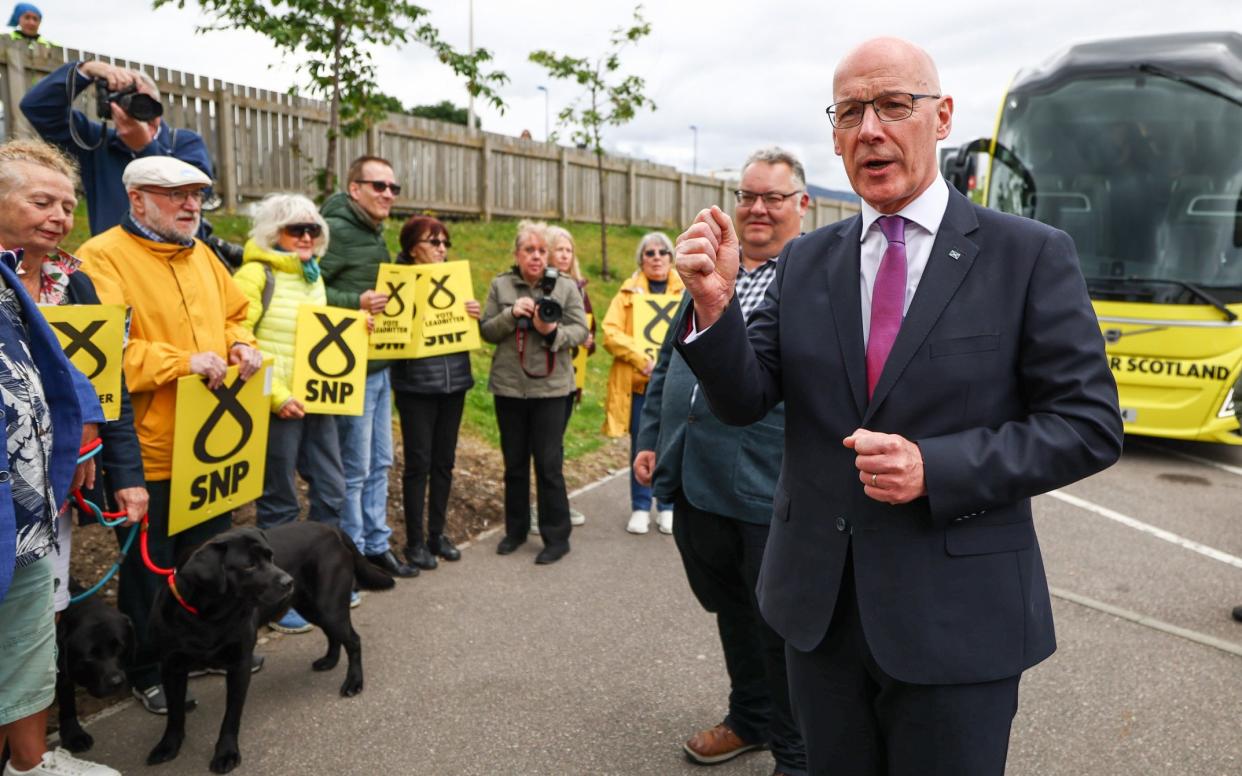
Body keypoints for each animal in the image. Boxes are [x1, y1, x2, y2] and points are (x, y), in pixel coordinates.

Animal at [263, 521, 394, 695]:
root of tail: (331, 528)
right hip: (313, 608)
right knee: (334, 635)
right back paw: (330, 661)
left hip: (328, 608)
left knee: (353, 641)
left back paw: (354, 682)